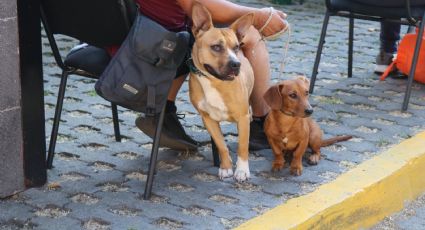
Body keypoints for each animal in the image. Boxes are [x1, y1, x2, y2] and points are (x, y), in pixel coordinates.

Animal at [190, 2, 255, 181]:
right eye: (216, 47)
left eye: (236, 47)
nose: (236, 64)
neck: (214, 82)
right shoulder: (208, 119)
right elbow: (221, 145)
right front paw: (225, 167)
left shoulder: (242, 118)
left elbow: (242, 146)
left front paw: (242, 170)